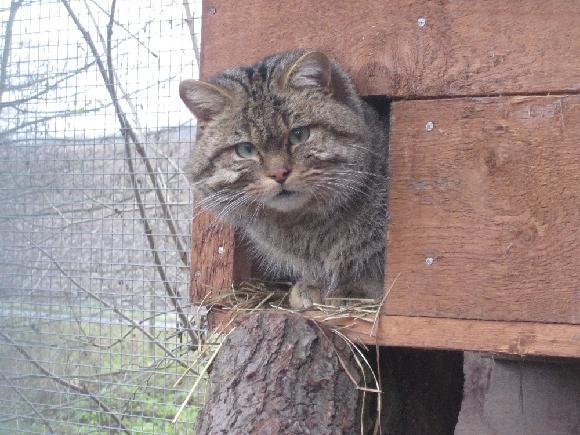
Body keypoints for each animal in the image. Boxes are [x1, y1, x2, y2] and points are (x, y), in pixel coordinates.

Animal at [180, 50, 390, 310]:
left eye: (299, 134)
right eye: (245, 149)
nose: (279, 173)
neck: (308, 226)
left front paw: (354, 289)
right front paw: (313, 286)